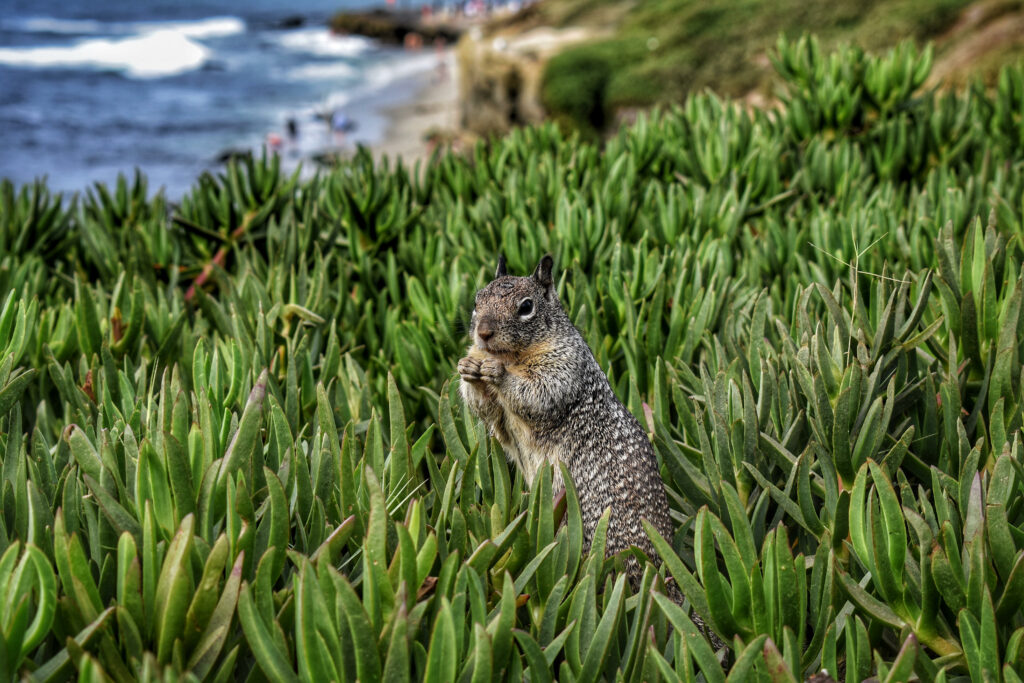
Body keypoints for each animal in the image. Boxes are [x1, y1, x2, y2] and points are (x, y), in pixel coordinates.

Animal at [458, 254, 691, 600]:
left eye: (526, 306)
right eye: (477, 300)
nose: (483, 333)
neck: (511, 356)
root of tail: (662, 577)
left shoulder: (564, 367)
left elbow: (538, 393)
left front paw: (497, 373)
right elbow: (487, 411)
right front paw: (469, 367)